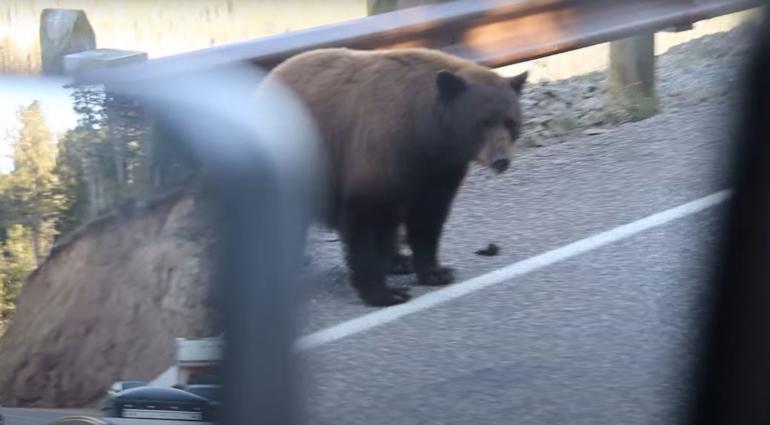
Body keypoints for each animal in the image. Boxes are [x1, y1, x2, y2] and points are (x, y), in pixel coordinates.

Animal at [267, 47, 527, 307]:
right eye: (482, 123)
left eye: (510, 122)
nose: (501, 160)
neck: (424, 132)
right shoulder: (382, 153)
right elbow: (369, 220)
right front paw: (384, 292)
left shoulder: (439, 170)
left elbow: (428, 217)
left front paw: (435, 272)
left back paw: (399, 261)